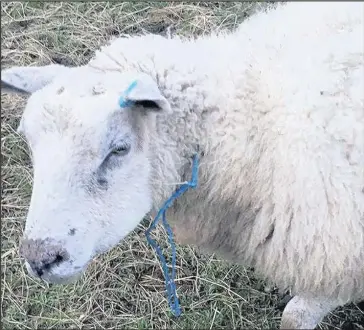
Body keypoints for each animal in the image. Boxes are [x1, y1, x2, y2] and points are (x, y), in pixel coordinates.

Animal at [1, 1, 362, 328]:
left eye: (119, 149)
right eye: (30, 143)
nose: (40, 259)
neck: (253, 121)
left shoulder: (339, 257)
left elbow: (295, 317)